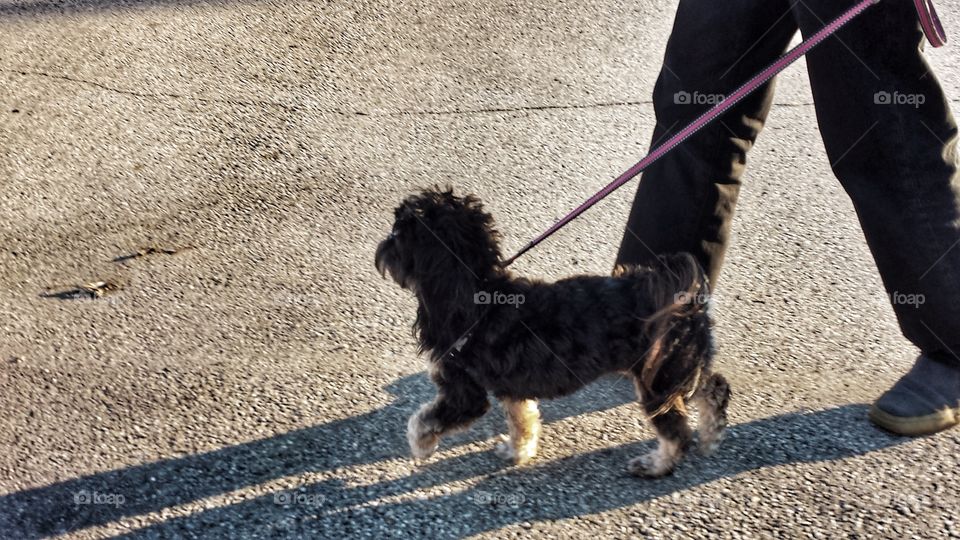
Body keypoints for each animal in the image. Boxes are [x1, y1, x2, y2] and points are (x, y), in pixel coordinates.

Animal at [376, 188, 728, 474]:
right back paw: (712, 433)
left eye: (400, 232)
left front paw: (421, 447)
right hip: (678, 369)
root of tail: (688, 303)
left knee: (678, 433)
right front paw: (519, 451)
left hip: (657, 380)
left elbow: (422, 421)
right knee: (713, 388)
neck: (477, 296)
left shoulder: (465, 394)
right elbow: (523, 421)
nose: (383, 244)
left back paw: (655, 465)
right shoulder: (512, 387)